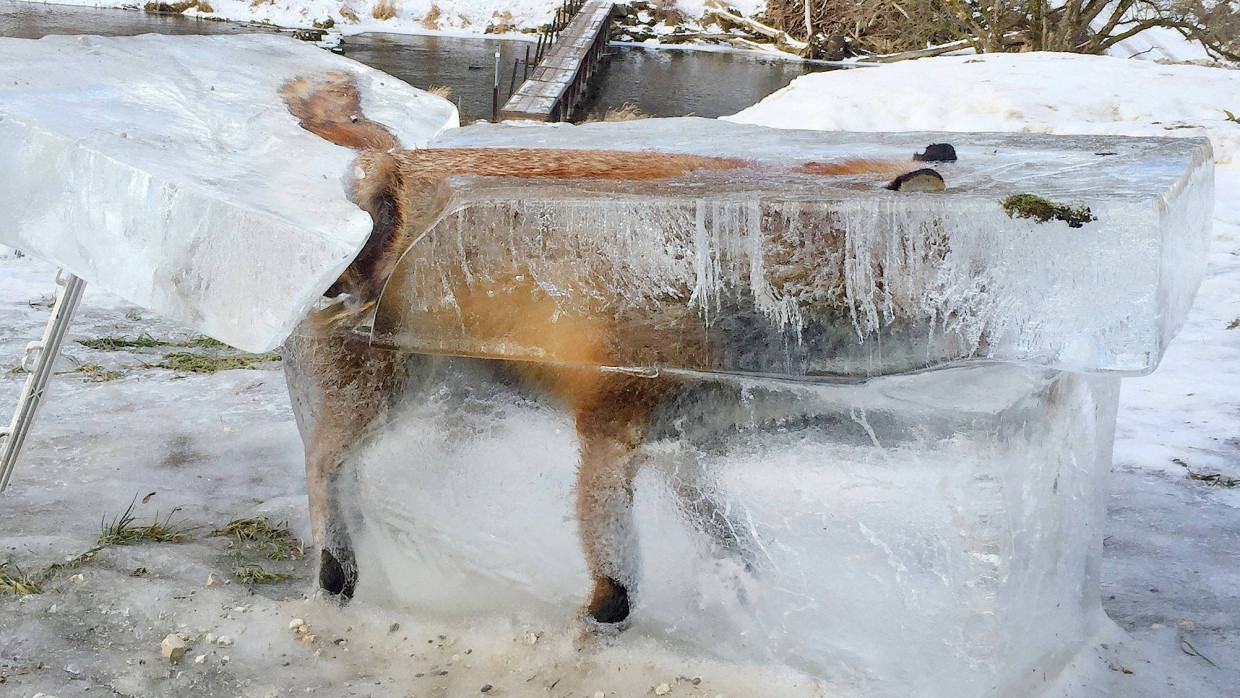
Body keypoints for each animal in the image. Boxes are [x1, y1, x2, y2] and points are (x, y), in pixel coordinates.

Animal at [279, 70, 954, 625]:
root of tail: (395, 163)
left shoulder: (686, 442)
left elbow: (728, 536)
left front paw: (739, 590)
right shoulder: (611, 425)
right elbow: (617, 583)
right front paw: (600, 626)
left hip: (451, 400)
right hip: (380, 391)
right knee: (322, 466)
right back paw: (337, 571)